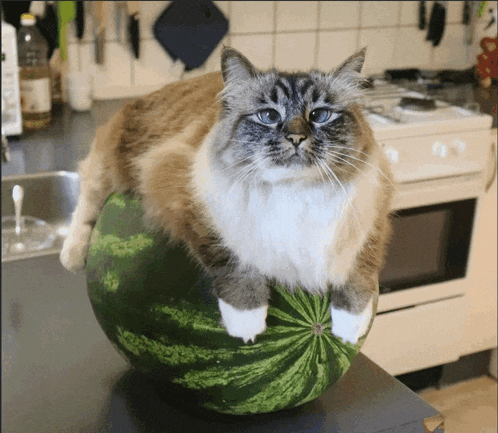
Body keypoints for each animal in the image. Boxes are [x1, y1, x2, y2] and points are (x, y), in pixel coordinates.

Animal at [60, 46, 394, 344]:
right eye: (268, 115)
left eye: (320, 115)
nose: (296, 138)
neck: (293, 191)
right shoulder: (183, 189)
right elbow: (234, 262)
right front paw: (246, 322)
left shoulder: (374, 206)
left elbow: (361, 271)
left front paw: (350, 328)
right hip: (111, 165)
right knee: (87, 198)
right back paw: (73, 254)